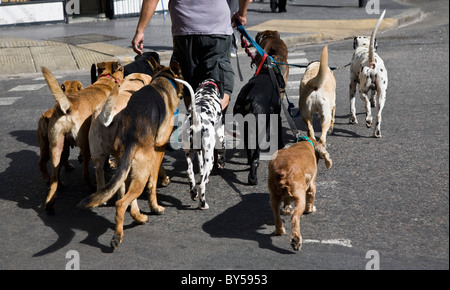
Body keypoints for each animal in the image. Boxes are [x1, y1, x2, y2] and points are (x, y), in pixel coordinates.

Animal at [41, 61, 124, 215]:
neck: (106, 81)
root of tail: (68, 106)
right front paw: (108, 165)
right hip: (85, 146)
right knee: (84, 172)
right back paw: (91, 186)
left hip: (56, 147)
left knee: (54, 178)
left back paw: (50, 203)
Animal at [182, 78, 227, 210]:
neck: (207, 90)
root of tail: (197, 119)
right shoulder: (220, 136)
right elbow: (223, 151)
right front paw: (222, 163)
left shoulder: (198, 151)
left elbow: (200, 167)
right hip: (210, 159)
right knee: (202, 186)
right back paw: (202, 204)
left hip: (189, 153)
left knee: (189, 172)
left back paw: (193, 194)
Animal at [234, 58, 284, 186]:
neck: (265, 73)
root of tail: (248, 97)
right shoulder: (277, 116)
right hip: (258, 130)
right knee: (255, 155)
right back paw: (252, 177)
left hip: (244, 129)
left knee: (249, 150)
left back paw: (249, 163)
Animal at [350, 10, 388, 138]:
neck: (365, 47)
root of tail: (371, 61)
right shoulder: (374, 89)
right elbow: (372, 96)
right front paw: (373, 102)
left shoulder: (352, 85)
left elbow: (352, 105)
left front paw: (352, 119)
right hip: (382, 96)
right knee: (378, 115)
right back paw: (376, 132)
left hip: (362, 91)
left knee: (367, 106)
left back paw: (368, 120)